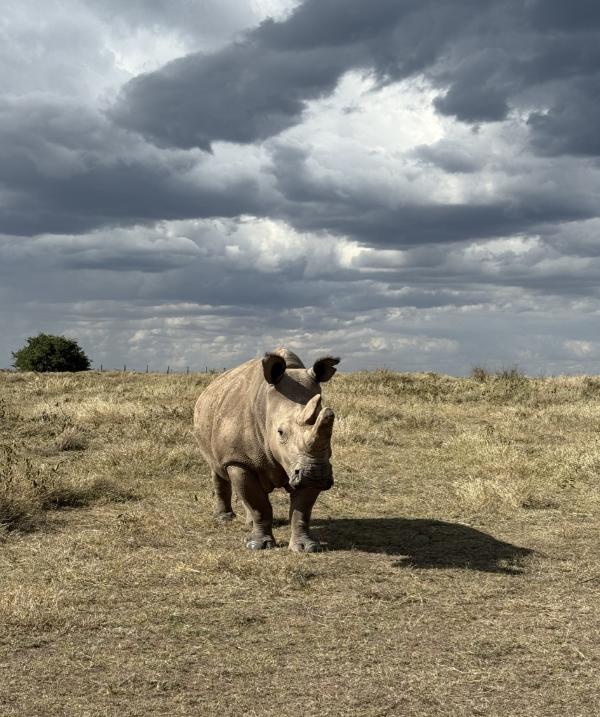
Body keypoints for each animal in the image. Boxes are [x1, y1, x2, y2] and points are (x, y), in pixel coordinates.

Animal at [193, 347, 339, 551]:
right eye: (280, 432)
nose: (315, 473)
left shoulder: (306, 465)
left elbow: (302, 510)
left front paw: (306, 547)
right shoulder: (238, 460)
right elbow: (259, 505)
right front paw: (258, 545)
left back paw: (248, 524)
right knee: (217, 469)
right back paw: (224, 518)